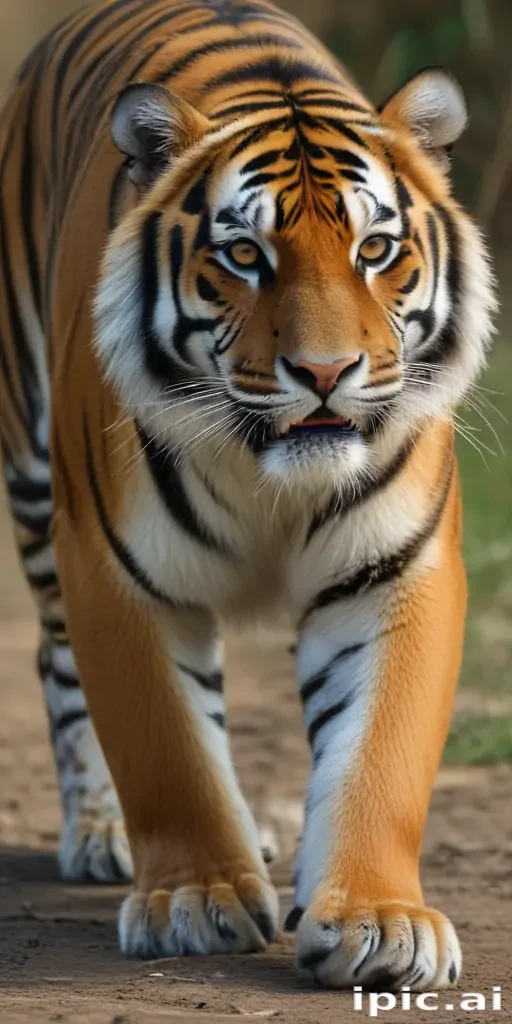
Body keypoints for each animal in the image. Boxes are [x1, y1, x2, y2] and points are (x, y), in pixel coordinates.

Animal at [0, 0, 495, 991]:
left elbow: (379, 753)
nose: (326, 373)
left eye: (375, 250)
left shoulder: (395, 568)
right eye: (243, 254)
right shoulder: (115, 568)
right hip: (36, 489)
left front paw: (379, 919)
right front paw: (195, 900)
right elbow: (167, 748)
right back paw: (104, 833)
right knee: (57, 662)